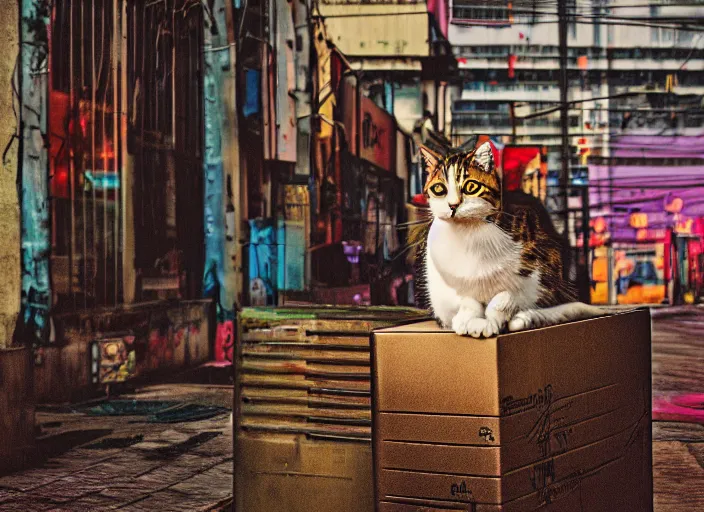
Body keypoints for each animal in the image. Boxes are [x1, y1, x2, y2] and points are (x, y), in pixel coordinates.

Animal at [416, 139, 604, 336]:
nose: (453, 205)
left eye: (471, 187)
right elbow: (467, 299)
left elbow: (507, 296)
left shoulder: (542, 275)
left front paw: (492, 322)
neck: (468, 233)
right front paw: (468, 321)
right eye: (439, 189)